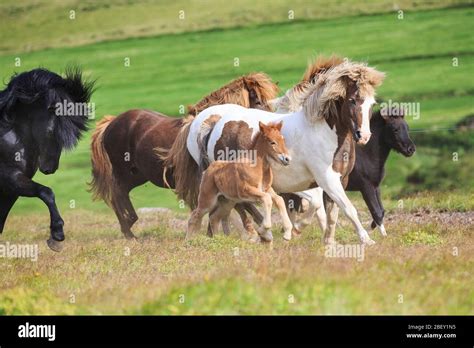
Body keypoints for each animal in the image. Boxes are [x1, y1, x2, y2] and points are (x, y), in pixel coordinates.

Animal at [0, 67, 95, 250]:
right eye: (53, 132)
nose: (50, 168)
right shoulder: (9, 177)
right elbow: (46, 192)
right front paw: (57, 233)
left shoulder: (11, 188)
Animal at [88, 72, 278, 238]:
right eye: (258, 100)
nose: (272, 128)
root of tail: (111, 122)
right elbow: (241, 204)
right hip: (123, 173)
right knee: (117, 195)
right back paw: (129, 232)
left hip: (137, 175)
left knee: (120, 196)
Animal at [185, 59, 386, 245]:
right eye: (352, 100)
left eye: (372, 103)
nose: (363, 136)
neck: (323, 132)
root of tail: (214, 125)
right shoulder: (324, 179)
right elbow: (345, 208)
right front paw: (366, 240)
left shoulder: (340, 180)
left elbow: (332, 213)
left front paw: (329, 241)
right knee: (239, 206)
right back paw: (258, 234)